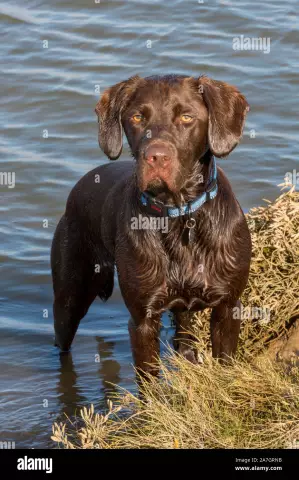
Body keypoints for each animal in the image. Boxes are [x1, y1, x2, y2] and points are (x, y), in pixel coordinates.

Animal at [52, 73, 253, 376]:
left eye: (186, 117)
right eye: (137, 117)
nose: (156, 156)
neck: (180, 216)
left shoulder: (228, 308)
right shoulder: (143, 319)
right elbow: (149, 380)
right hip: (69, 299)